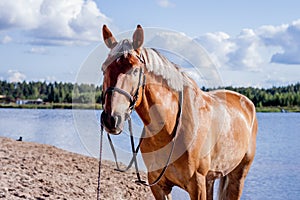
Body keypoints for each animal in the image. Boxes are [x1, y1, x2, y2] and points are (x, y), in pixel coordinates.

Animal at [101, 25, 258, 200]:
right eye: (103, 69)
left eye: (135, 70)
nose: (111, 119)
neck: (168, 129)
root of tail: (247, 103)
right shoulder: (159, 186)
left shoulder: (197, 186)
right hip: (210, 179)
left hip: (237, 176)